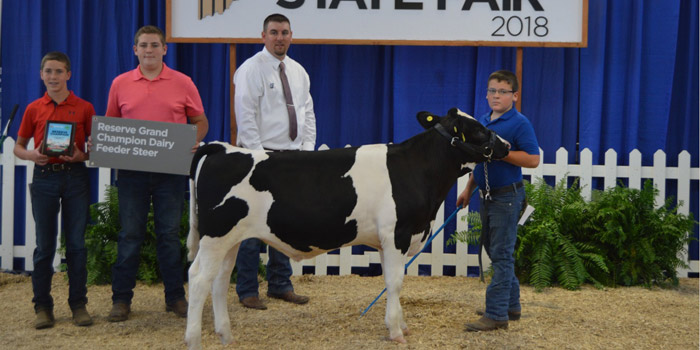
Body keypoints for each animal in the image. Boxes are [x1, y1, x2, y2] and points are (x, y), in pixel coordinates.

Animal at [185, 108, 508, 348]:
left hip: (230, 240)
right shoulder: (397, 235)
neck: (418, 170)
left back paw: (226, 335)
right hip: (215, 237)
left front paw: (401, 324)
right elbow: (395, 282)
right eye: (479, 129)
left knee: (219, 280)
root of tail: (222, 149)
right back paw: (193, 340)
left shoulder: (389, 240)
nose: (506, 145)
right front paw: (396, 332)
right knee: (199, 278)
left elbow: (393, 282)